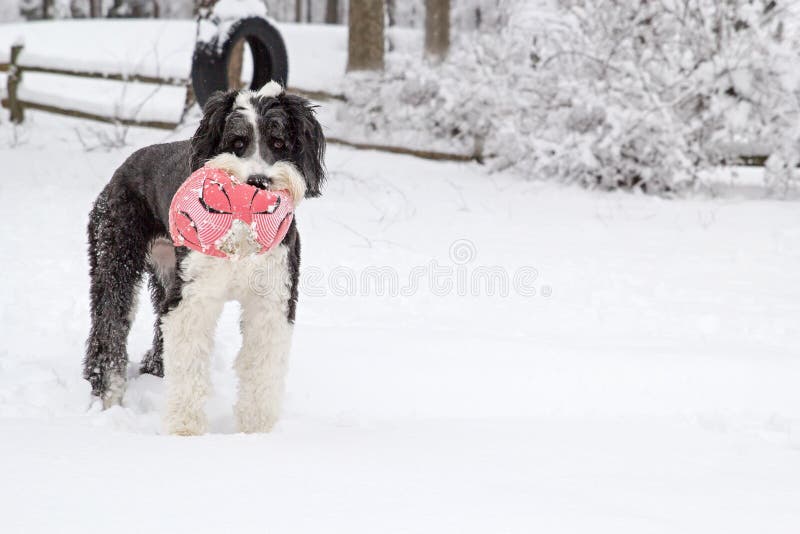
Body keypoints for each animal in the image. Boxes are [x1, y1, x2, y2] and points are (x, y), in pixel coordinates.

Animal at [83, 82, 324, 436]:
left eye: (279, 142)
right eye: (237, 143)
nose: (258, 181)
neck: (241, 232)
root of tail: (126, 166)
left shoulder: (272, 300)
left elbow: (261, 366)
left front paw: (256, 431)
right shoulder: (192, 299)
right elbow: (189, 362)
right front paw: (185, 429)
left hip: (167, 272)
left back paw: (154, 370)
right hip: (114, 257)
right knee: (109, 324)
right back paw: (108, 397)